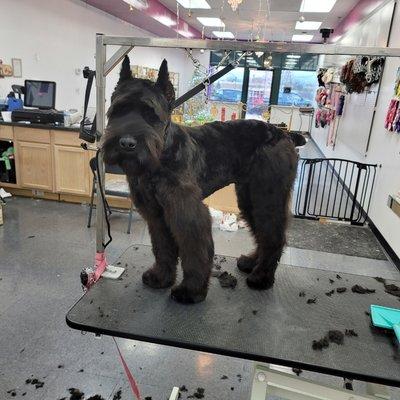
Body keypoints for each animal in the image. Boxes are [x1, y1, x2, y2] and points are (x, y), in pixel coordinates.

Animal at [101, 54, 298, 302]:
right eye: (117, 110)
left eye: (150, 114)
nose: (127, 143)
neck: (161, 156)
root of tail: (284, 134)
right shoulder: (156, 215)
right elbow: (162, 248)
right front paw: (161, 277)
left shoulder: (187, 212)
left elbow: (195, 251)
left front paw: (191, 290)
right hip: (249, 198)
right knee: (263, 233)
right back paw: (251, 262)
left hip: (266, 196)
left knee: (273, 236)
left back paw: (262, 277)